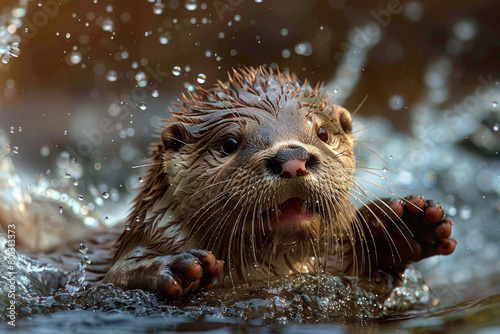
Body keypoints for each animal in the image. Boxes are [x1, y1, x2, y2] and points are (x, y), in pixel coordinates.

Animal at [102, 66, 458, 298]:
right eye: (229, 143)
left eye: (322, 132)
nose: (292, 158)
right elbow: (114, 276)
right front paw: (177, 267)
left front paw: (401, 225)